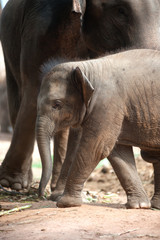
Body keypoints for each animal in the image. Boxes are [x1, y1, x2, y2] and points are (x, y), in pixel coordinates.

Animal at [0, 0, 160, 191]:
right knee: (17, 101)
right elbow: (33, 90)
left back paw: (53, 186)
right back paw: (17, 184)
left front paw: (59, 192)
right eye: (120, 10)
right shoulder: (41, 26)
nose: (39, 192)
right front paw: (11, 183)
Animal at [37, 49, 160, 209]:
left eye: (57, 104)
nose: (40, 195)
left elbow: (96, 148)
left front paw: (65, 203)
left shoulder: (107, 104)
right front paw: (139, 206)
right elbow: (117, 151)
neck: (85, 68)